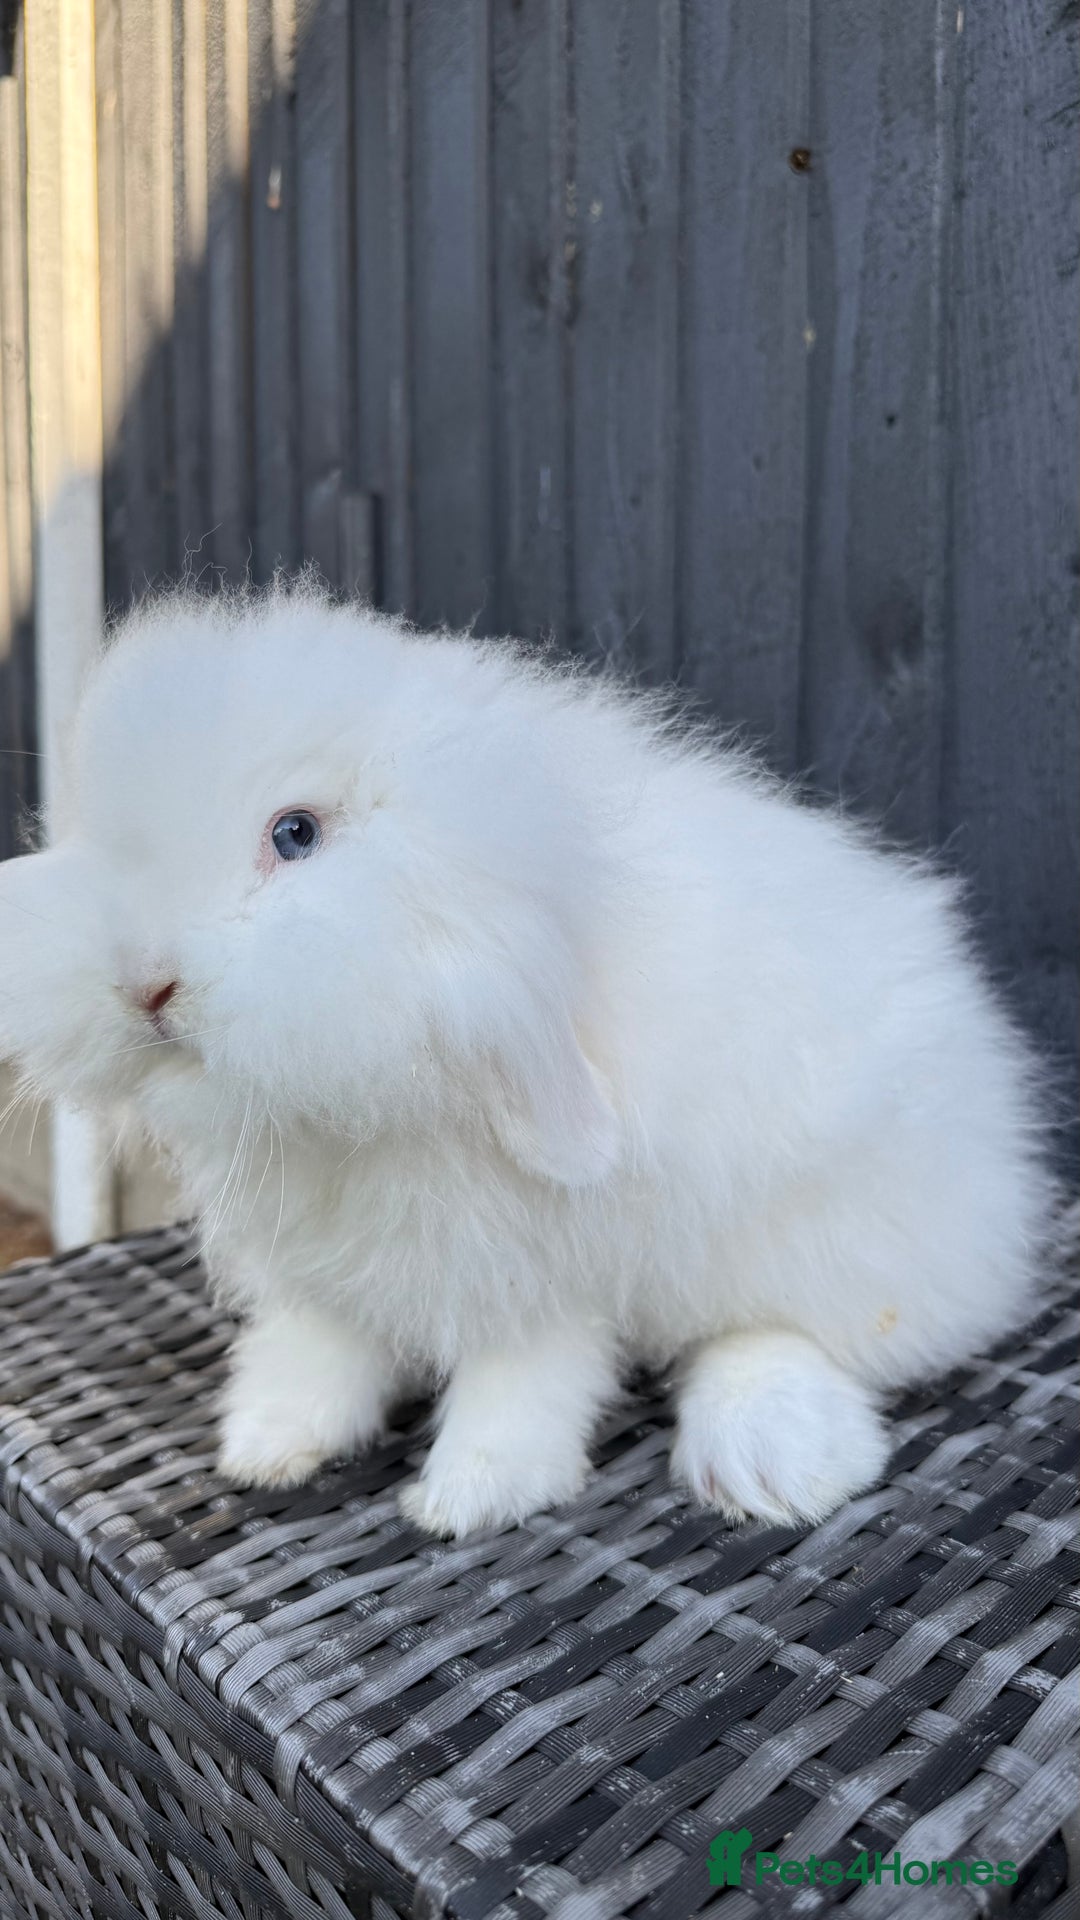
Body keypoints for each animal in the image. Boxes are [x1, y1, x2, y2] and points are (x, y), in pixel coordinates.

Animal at [0, 581, 1057, 1537]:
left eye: (294, 834)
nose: (144, 983)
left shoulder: (542, 1272)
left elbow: (525, 1380)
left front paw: (470, 1500)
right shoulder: (328, 1265)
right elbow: (323, 1343)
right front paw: (268, 1443)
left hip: (831, 1233)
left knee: (800, 1333)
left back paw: (771, 1463)